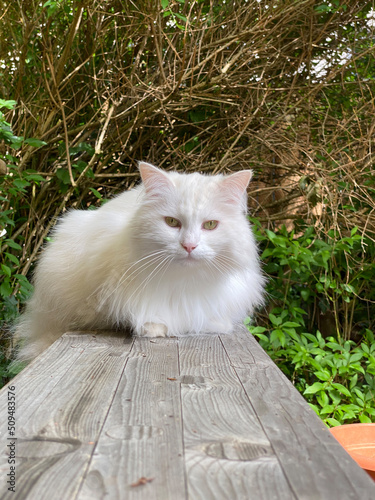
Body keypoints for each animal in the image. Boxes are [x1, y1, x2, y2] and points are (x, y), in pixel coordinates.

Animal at [14, 162, 266, 362]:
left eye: (210, 225)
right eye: (172, 222)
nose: (189, 246)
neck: (183, 282)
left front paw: (215, 325)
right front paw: (155, 328)